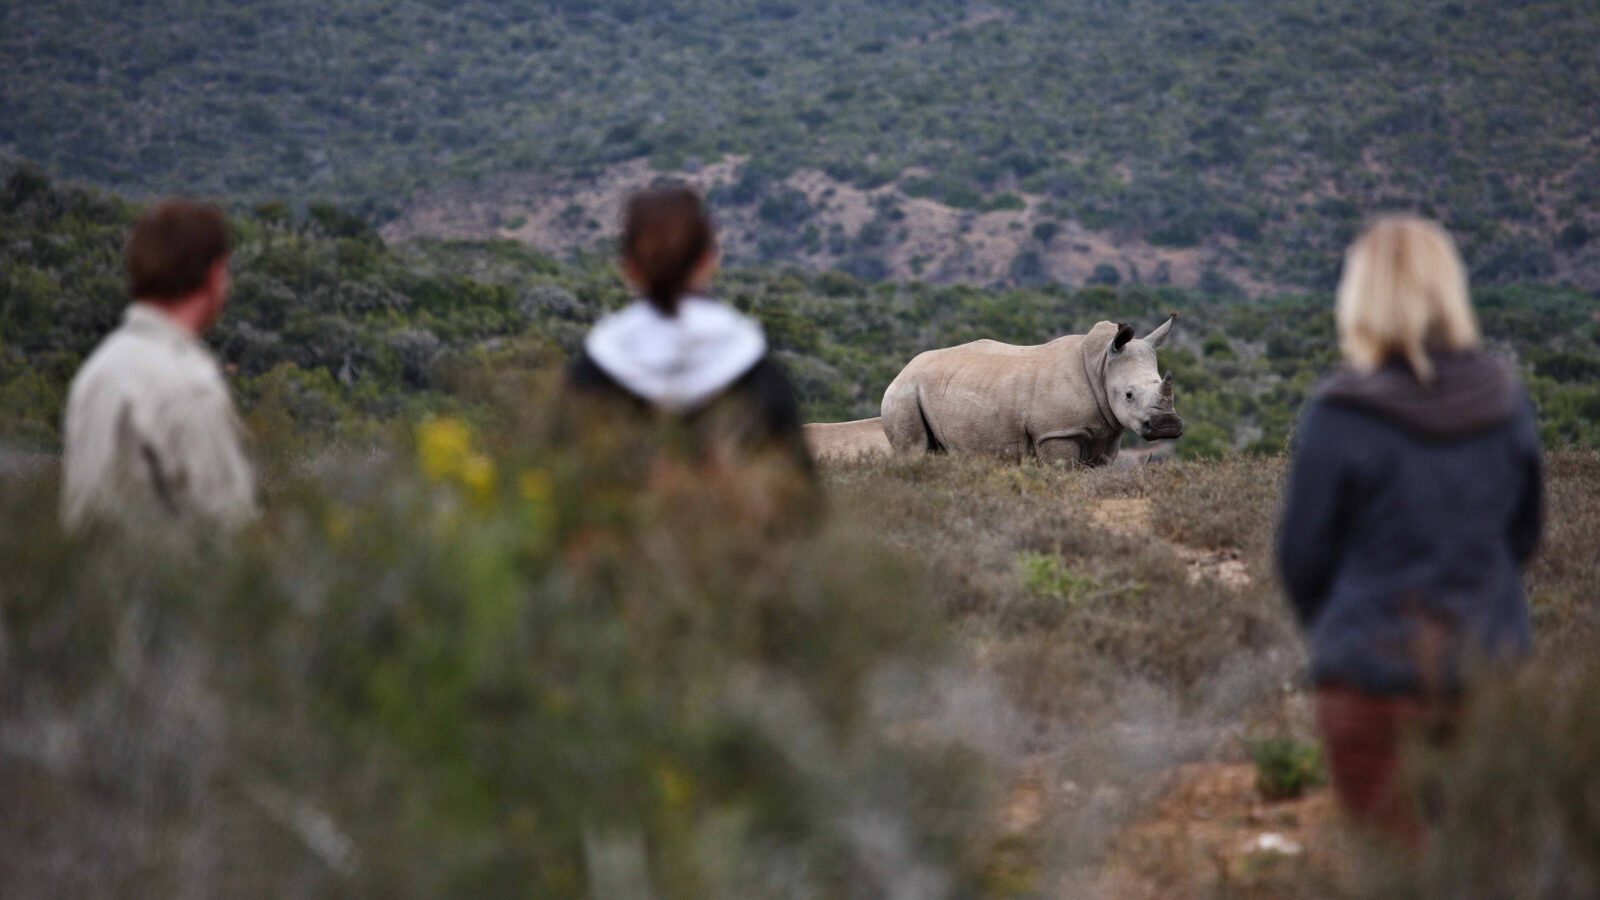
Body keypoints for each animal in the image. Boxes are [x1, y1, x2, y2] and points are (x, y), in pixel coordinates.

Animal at [879, 316, 1183, 466]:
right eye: (1129, 395)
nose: (1167, 426)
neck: (1101, 367)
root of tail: (902, 371)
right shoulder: (1057, 432)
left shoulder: (1108, 432)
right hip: (904, 393)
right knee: (915, 452)